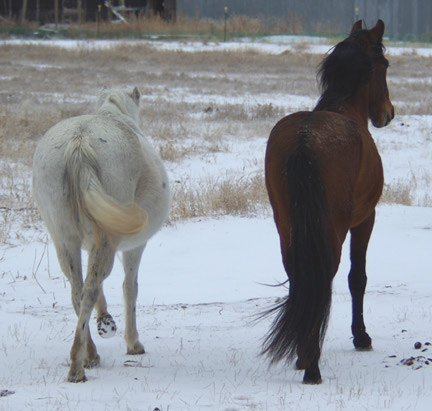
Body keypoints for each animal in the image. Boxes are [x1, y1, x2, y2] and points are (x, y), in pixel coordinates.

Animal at [32, 87, 170, 384]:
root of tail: (80, 141)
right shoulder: (135, 246)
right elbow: (130, 288)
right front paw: (132, 342)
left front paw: (105, 319)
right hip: (106, 241)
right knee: (90, 288)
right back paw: (78, 365)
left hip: (64, 240)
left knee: (78, 290)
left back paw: (90, 354)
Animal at [264, 20, 394, 386]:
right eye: (385, 65)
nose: (387, 114)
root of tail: (304, 138)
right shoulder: (366, 219)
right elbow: (357, 278)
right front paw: (361, 337)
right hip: (333, 229)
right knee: (324, 276)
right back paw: (311, 364)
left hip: (285, 224)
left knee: (298, 274)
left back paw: (301, 355)